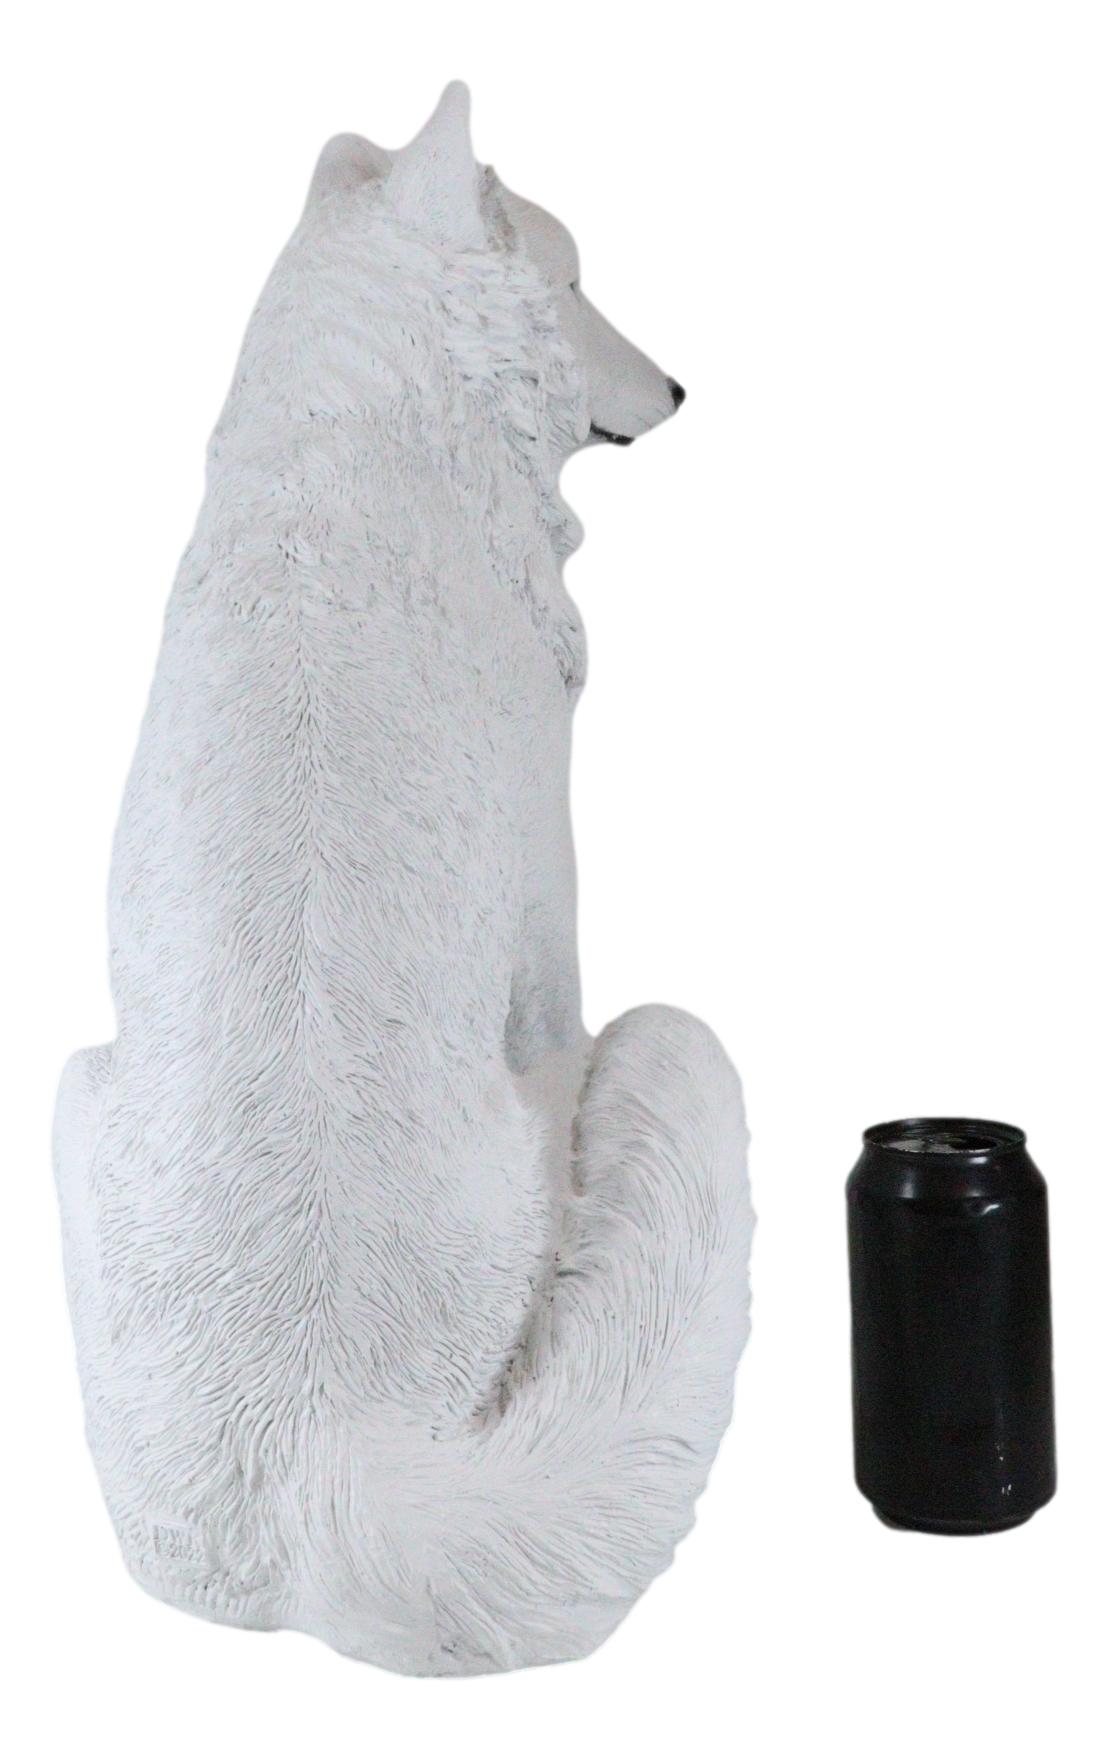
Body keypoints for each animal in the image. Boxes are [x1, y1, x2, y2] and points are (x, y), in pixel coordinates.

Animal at [54, 84, 752, 1674]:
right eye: (573, 279)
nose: (682, 389)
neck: (355, 431)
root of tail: (321, 1453)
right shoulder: (551, 886)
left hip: (65, 1088)